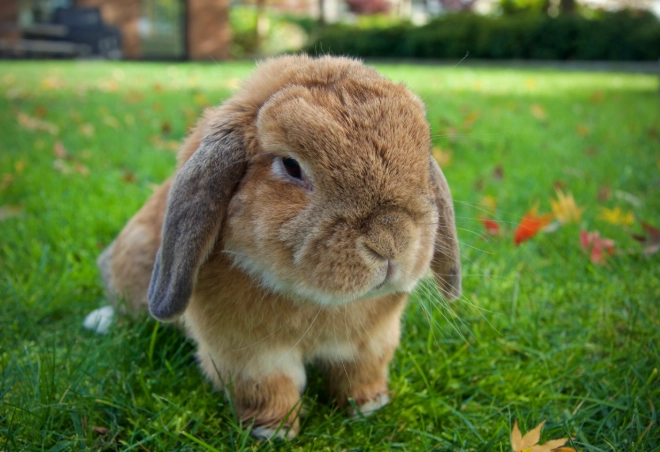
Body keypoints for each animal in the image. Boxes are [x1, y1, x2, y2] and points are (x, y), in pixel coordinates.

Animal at [93, 54, 461, 439]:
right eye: (291, 165)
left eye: (423, 156)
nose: (390, 241)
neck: (317, 302)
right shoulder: (249, 355)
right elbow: (270, 388)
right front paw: (274, 431)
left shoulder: (371, 344)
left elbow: (361, 374)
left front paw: (369, 406)